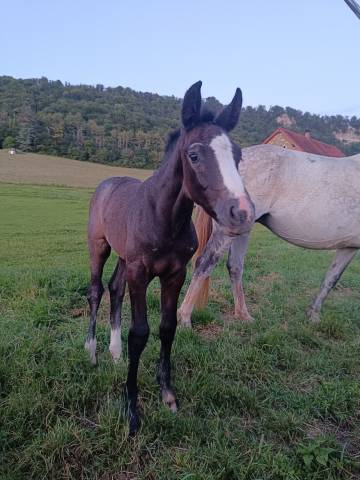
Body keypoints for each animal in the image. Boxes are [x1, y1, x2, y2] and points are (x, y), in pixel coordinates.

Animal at [86, 80, 255, 434]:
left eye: (238, 155)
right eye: (194, 155)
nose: (242, 213)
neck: (163, 218)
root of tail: (108, 182)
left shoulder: (175, 274)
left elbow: (167, 327)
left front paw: (167, 395)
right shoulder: (140, 271)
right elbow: (140, 334)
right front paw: (132, 410)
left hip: (123, 258)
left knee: (115, 289)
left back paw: (114, 352)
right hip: (99, 246)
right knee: (96, 290)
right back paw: (92, 352)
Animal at [179, 144, 360, 326]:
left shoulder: (348, 247)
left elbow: (331, 279)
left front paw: (313, 315)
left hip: (242, 230)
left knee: (235, 266)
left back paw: (244, 316)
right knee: (205, 263)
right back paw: (184, 317)